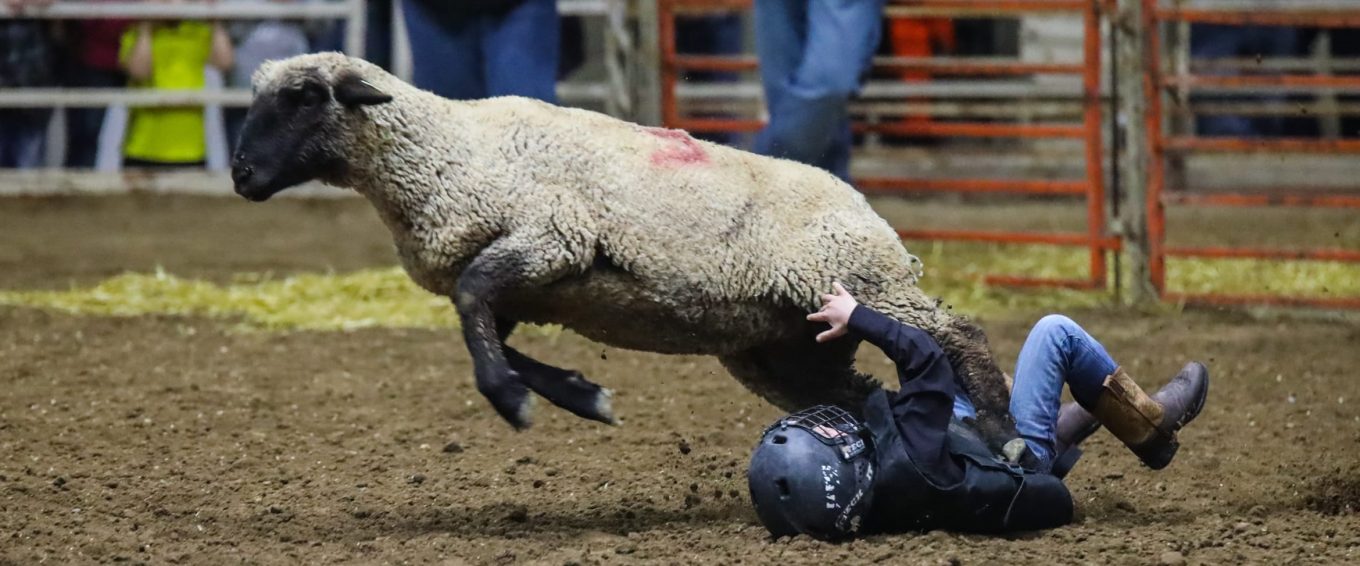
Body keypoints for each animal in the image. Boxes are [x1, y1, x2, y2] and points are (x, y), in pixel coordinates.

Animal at [230, 53, 1026, 460]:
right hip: (783, 348)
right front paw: (580, 394)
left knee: (957, 333)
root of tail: (863, 204)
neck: (445, 150)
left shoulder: (553, 239)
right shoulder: (525, 285)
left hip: (859, 278)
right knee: (862, 393)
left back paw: (1001, 431)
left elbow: (473, 308)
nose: (240, 174)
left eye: (304, 96)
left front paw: (516, 402)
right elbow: (483, 328)